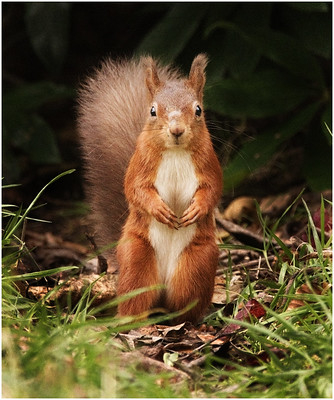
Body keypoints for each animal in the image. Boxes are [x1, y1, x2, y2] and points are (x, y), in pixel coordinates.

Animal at [77, 54, 223, 324]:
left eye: (198, 109)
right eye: (153, 110)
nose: (176, 130)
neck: (175, 152)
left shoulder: (210, 166)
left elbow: (212, 191)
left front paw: (197, 209)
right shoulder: (139, 166)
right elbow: (135, 190)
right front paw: (159, 210)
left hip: (196, 266)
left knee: (184, 303)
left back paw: (184, 322)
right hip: (137, 261)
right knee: (136, 300)